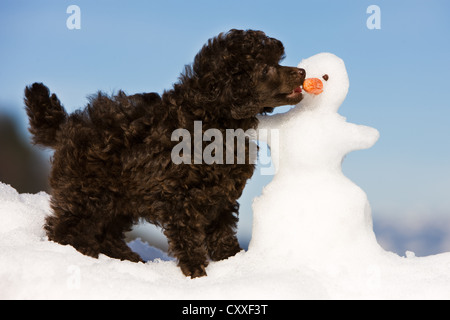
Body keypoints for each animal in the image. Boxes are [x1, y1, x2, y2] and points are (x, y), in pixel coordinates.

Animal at [24, 29, 306, 278]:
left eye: (276, 62)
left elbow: (222, 230)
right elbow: (187, 233)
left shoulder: (222, 193)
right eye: (265, 69)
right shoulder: (180, 194)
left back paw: (127, 258)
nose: (302, 72)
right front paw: (195, 270)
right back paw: (75, 253)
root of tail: (65, 126)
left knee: (107, 230)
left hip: (121, 196)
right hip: (87, 191)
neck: (214, 120)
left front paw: (232, 260)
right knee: (65, 227)